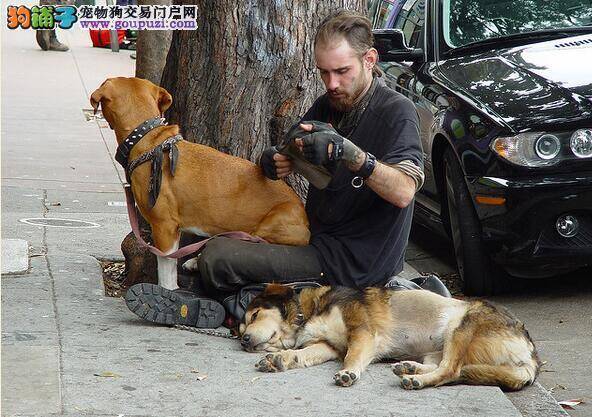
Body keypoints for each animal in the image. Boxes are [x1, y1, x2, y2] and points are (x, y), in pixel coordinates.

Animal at [90, 75, 310, 290]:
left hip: (269, 226)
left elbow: (166, 272)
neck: (149, 139)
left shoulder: (164, 228)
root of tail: (305, 216)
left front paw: (166, 292)